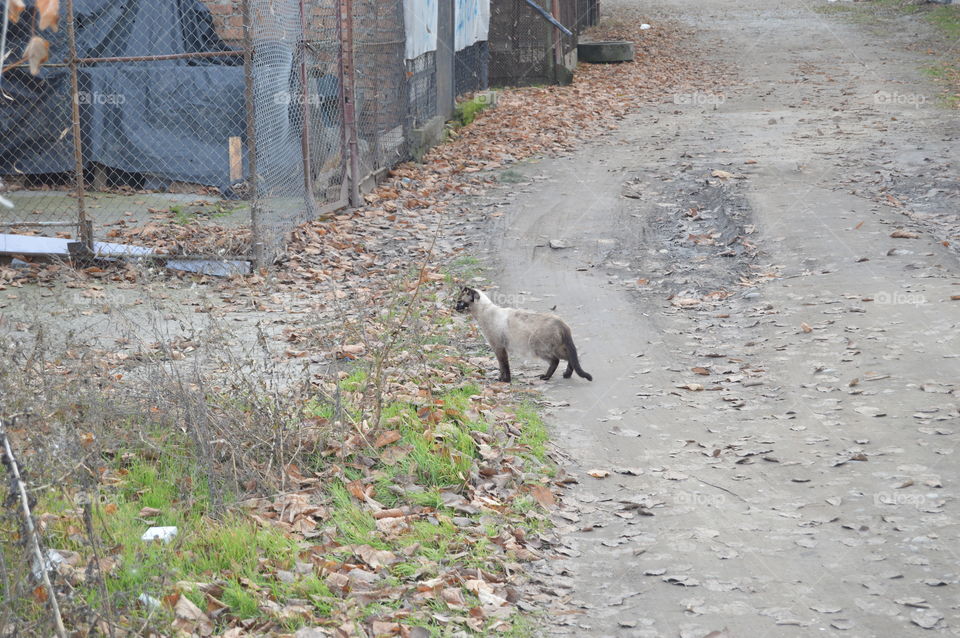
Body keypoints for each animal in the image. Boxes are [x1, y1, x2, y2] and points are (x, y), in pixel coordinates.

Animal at [456, 288, 592, 384]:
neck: (483, 313)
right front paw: (501, 379)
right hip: (555, 347)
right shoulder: (498, 348)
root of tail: (562, 323)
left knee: (556, 360)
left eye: (460, 302)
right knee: (571, 358)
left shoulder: (498, 347)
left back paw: (545, 377)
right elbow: (501, 366)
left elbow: (504, 366)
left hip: (539, 348)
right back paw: (566, 375)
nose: (455, 307)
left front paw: (505, 381)